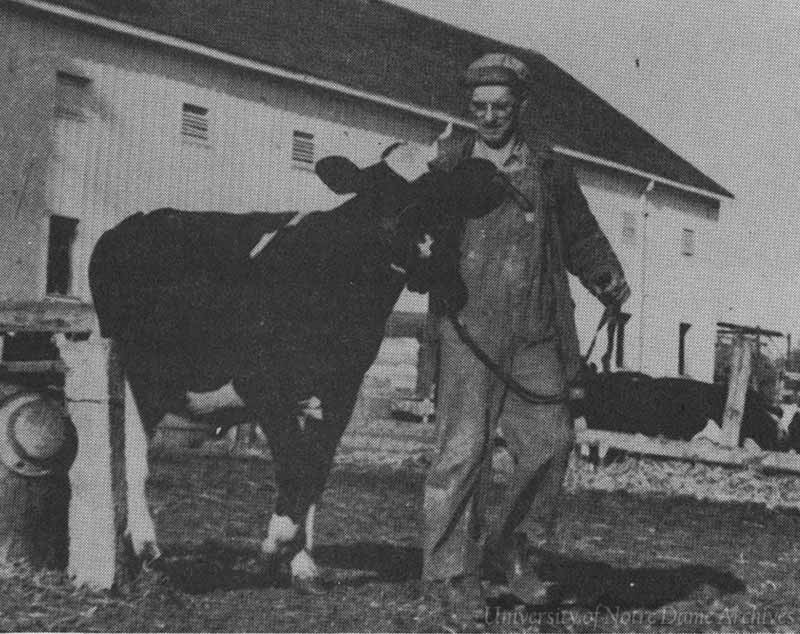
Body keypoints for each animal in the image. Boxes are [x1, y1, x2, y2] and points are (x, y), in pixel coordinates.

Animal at [90, 141, 504, 592]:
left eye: (439, 199)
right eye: (374, 190)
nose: (420, 249)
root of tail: (136, 220)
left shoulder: (342, 390)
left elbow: (315, 471)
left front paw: (303, 565)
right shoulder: (264, 386)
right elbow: (293, 465)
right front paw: (275, 547)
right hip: (135, 371)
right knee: (133, 451)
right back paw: (147, 548)